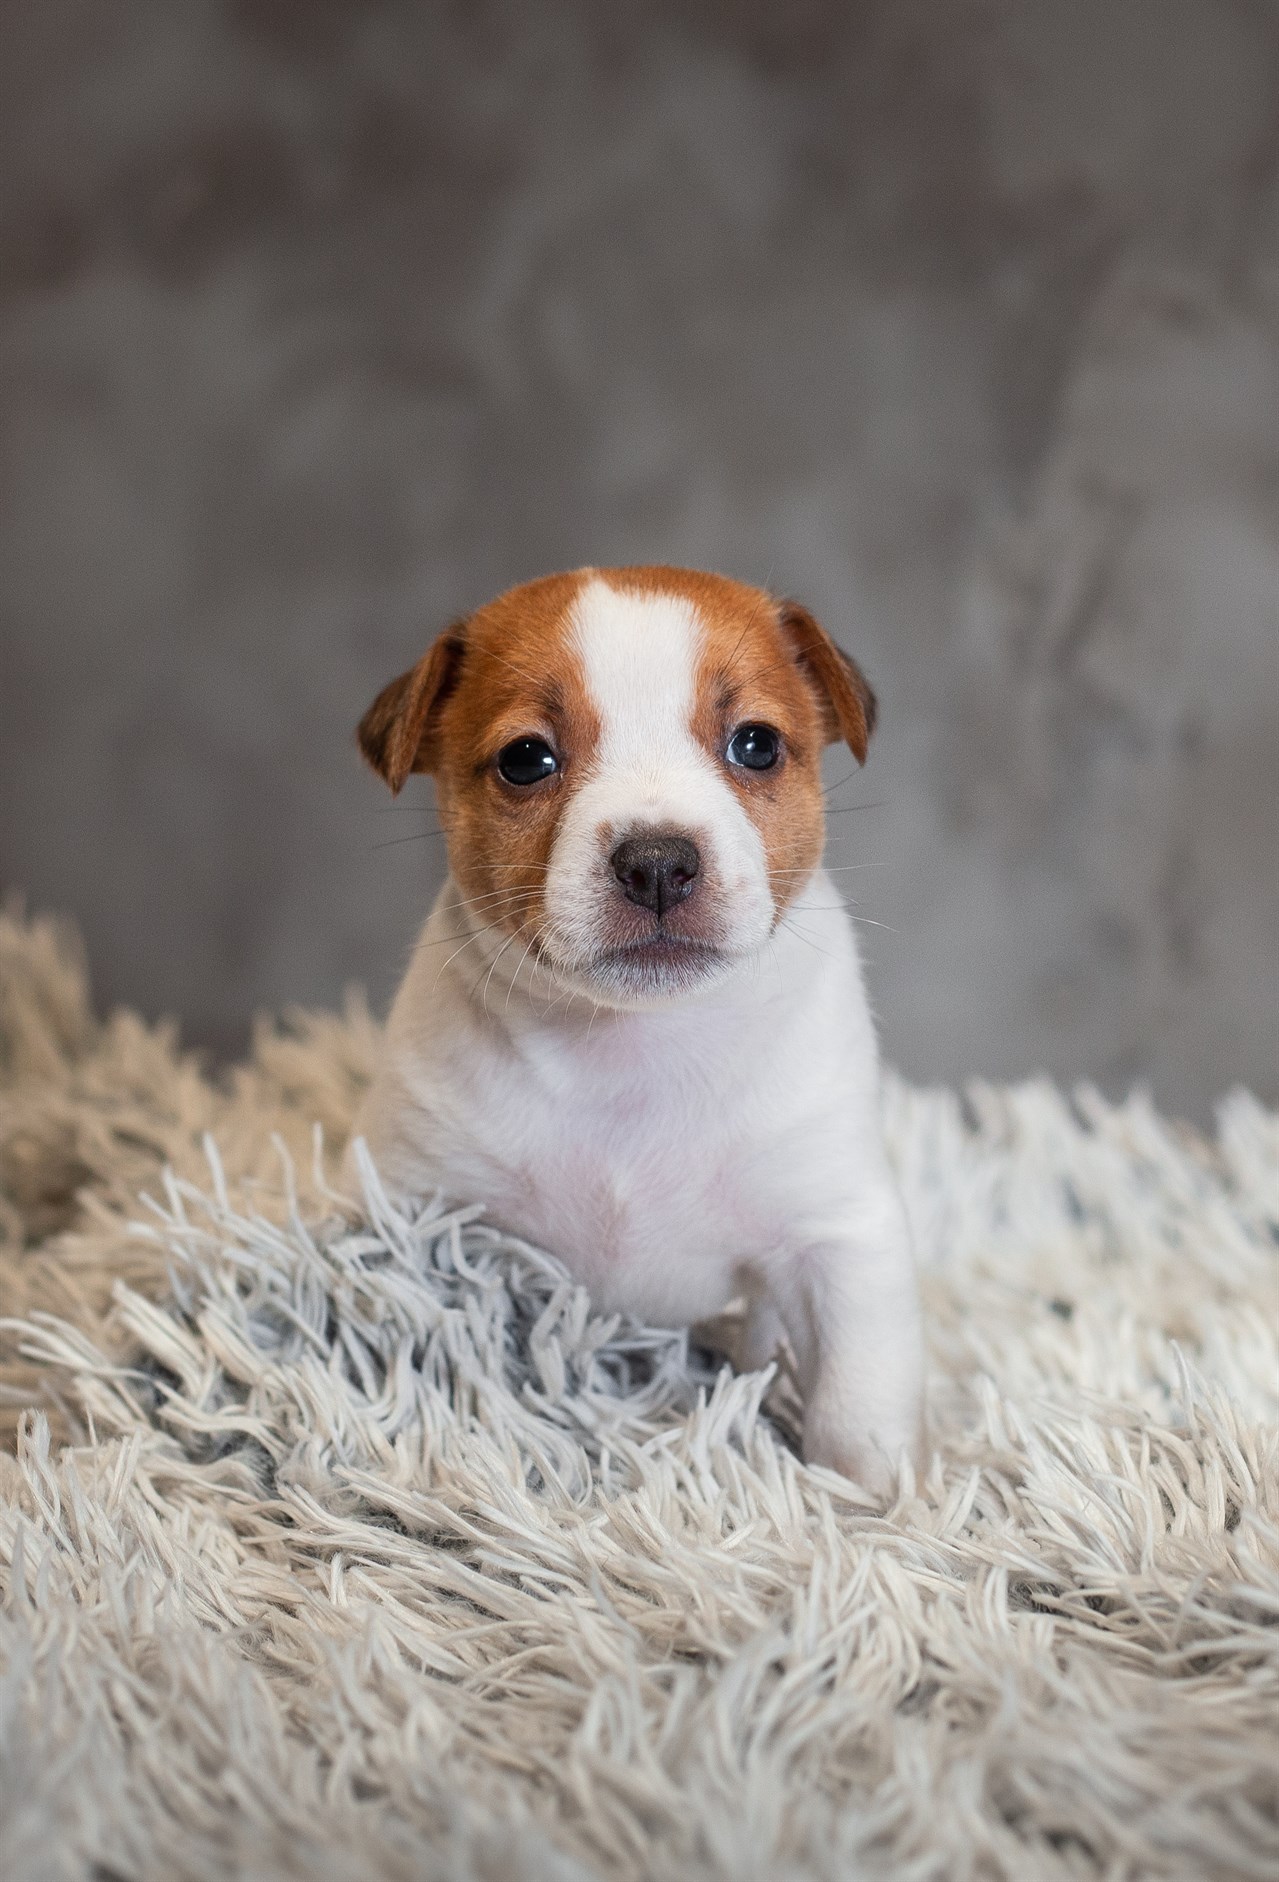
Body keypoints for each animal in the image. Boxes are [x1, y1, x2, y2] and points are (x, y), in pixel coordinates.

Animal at [349, 564, 925, 1490]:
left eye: (755, 745)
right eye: (525, 760)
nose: (657, 862)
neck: (632, 1044)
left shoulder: (839, 1237)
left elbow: (857, 1411)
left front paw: (872, 1506)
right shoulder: (413, 1203)